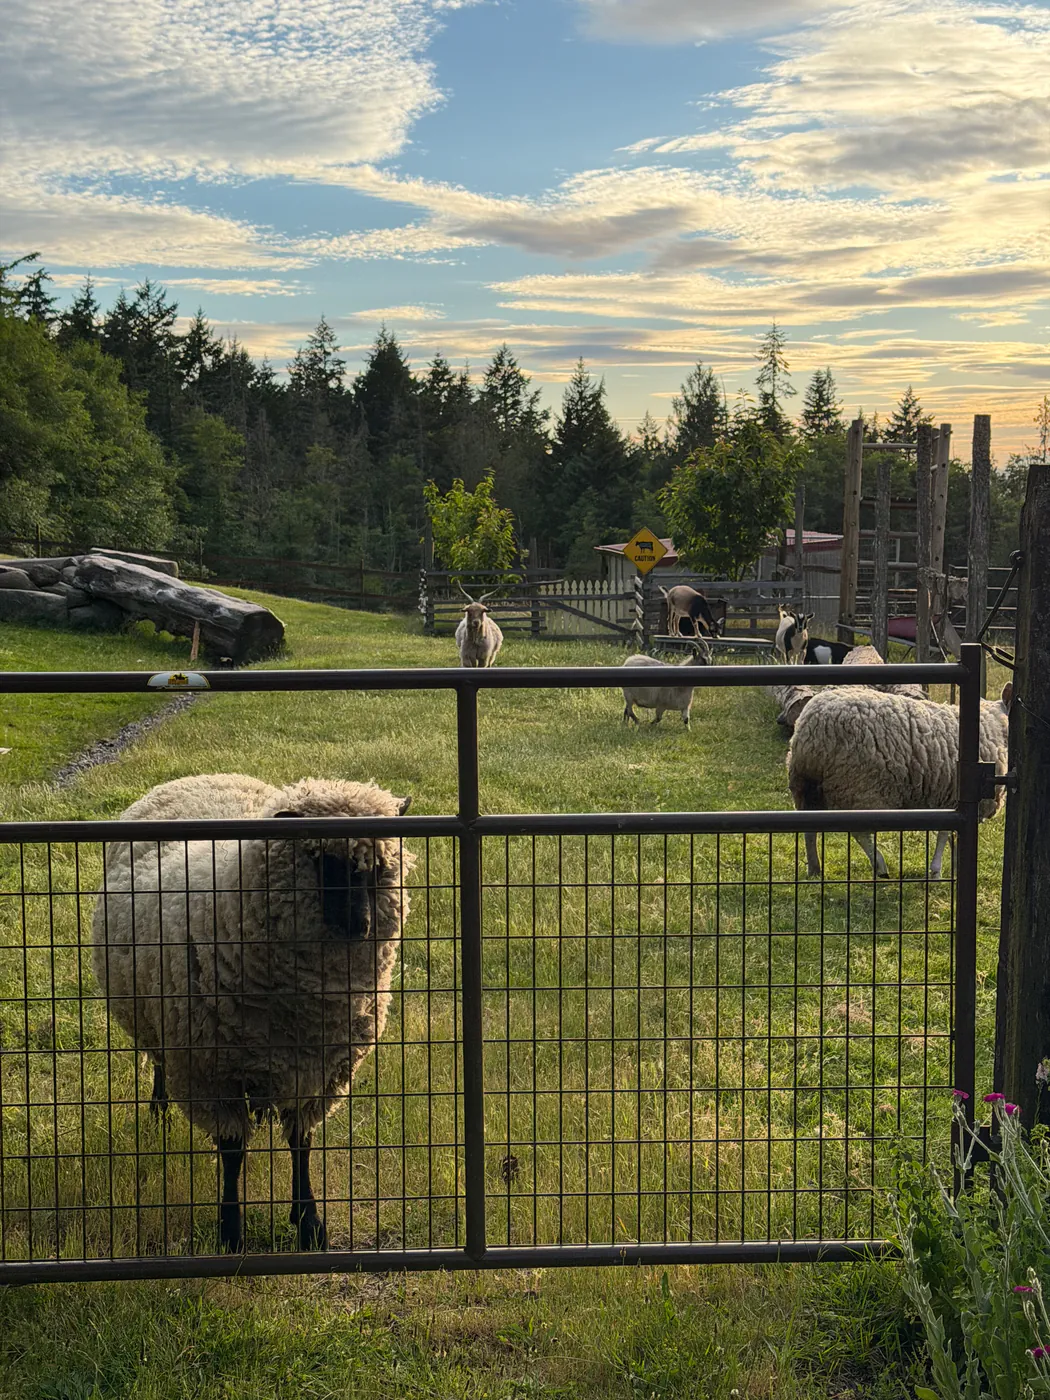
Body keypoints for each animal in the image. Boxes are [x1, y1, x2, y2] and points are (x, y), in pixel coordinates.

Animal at [92, 773, 414, 1253]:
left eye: (378, 867)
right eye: (324, 861)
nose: (362, 926)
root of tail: (199, 775)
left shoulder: (315, 1071)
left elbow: (301, 1144)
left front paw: (309, 1223)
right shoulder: (209, 1073)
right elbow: (231, 1151)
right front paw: (230, 1231)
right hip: (159, 1019)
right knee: (159, 1061)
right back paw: (159, 1110)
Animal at [787, 684, 1012, 880]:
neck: (994, 724)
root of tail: (810, 731)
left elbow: (952, 835)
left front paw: (954, 866)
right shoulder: (956, 797)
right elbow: (945, 834)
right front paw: (937, 871)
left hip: (808, 788)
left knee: (809, 830)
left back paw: (814, 869)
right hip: (858, 786)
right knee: (860, 833)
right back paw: (879, 865)